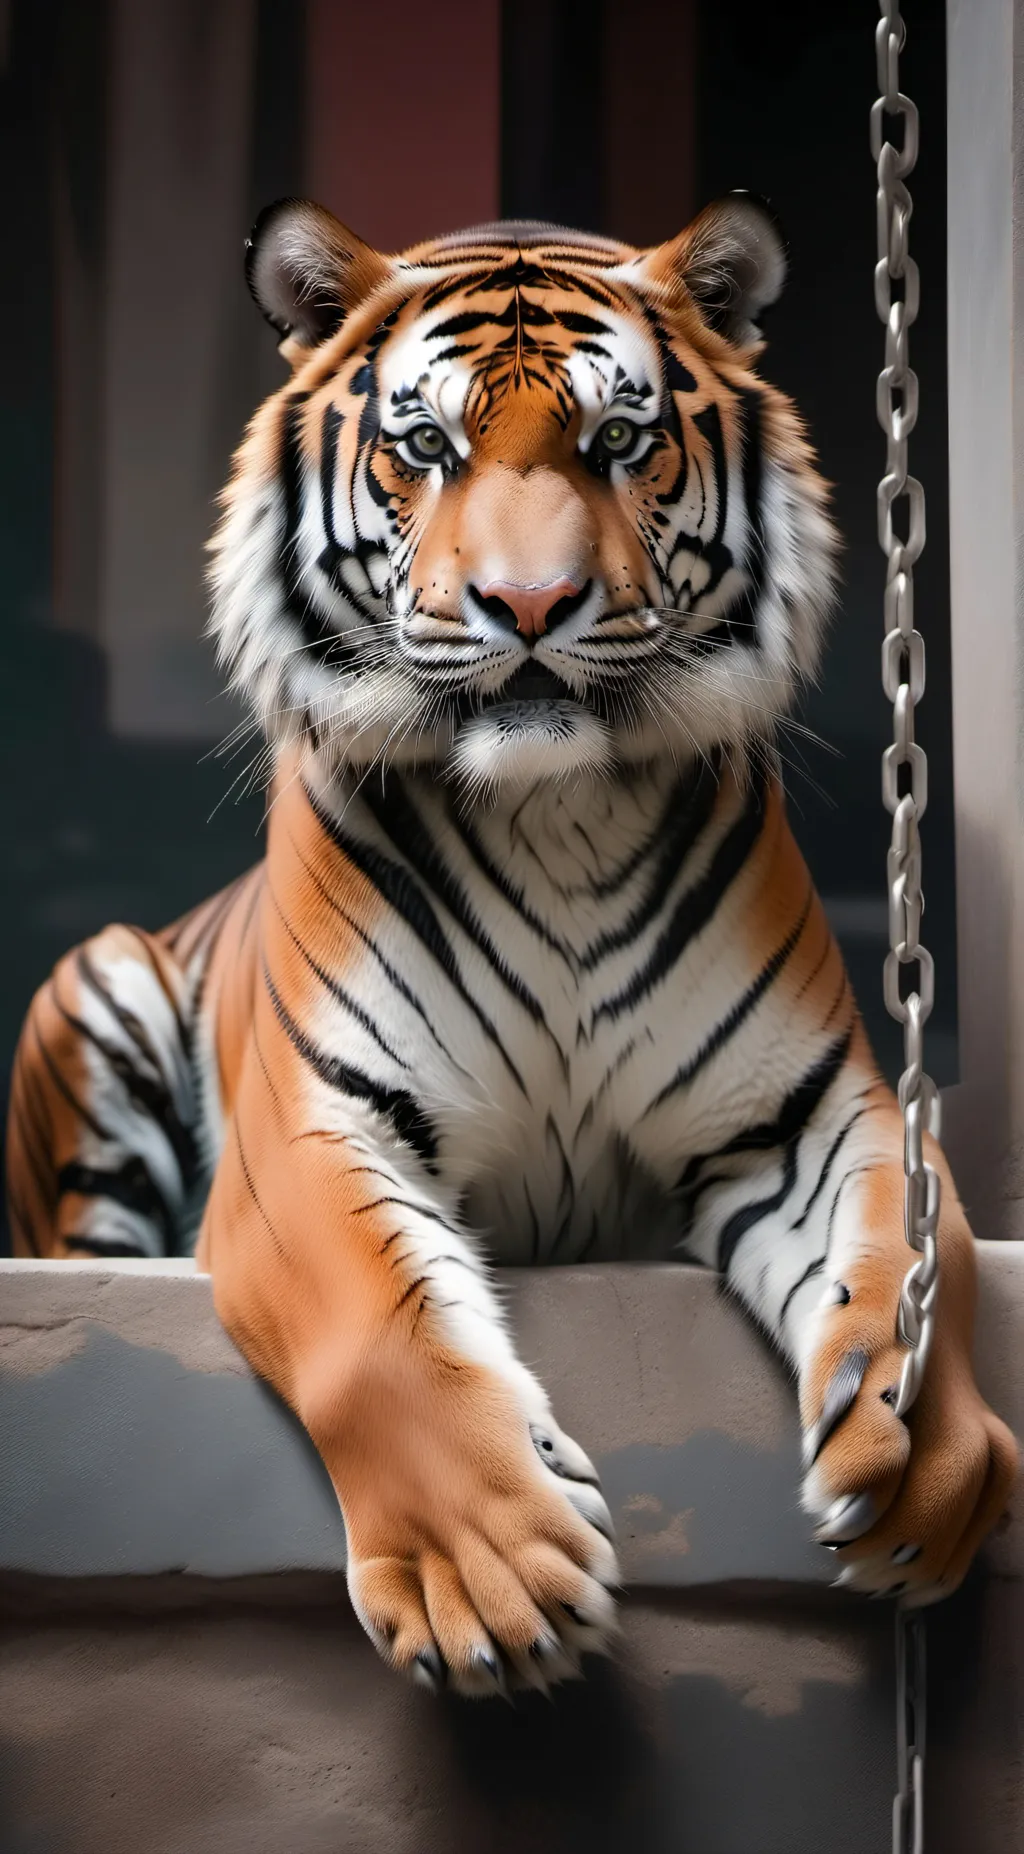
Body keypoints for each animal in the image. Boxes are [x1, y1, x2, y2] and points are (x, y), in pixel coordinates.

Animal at [6, 193, 1016, 1698]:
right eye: (426, 446)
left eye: (619, 441)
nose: (530, 607)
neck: (556, 815)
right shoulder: (312, 1129)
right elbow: (379, 1330)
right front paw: (496, 1586)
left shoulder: (815, 1107)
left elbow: (910, 1239)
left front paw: (915, 1461)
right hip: (100, 996)